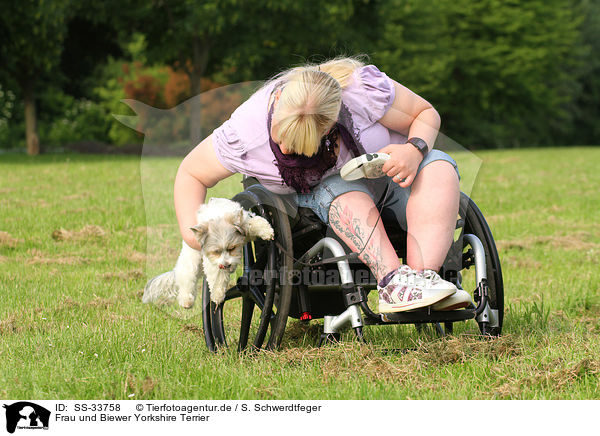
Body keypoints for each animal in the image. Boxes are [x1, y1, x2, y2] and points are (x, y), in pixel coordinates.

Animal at [142, 198, 274, 306]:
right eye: (216, 251)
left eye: (232, 248)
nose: (227, 265)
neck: (219, 217)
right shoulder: (214, 261)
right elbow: (218, 276)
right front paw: (217, 296)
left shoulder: (244, 222)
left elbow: (254, 223)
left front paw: (267, 232)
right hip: (190, 262)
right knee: (186, 279)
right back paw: (186, 301)